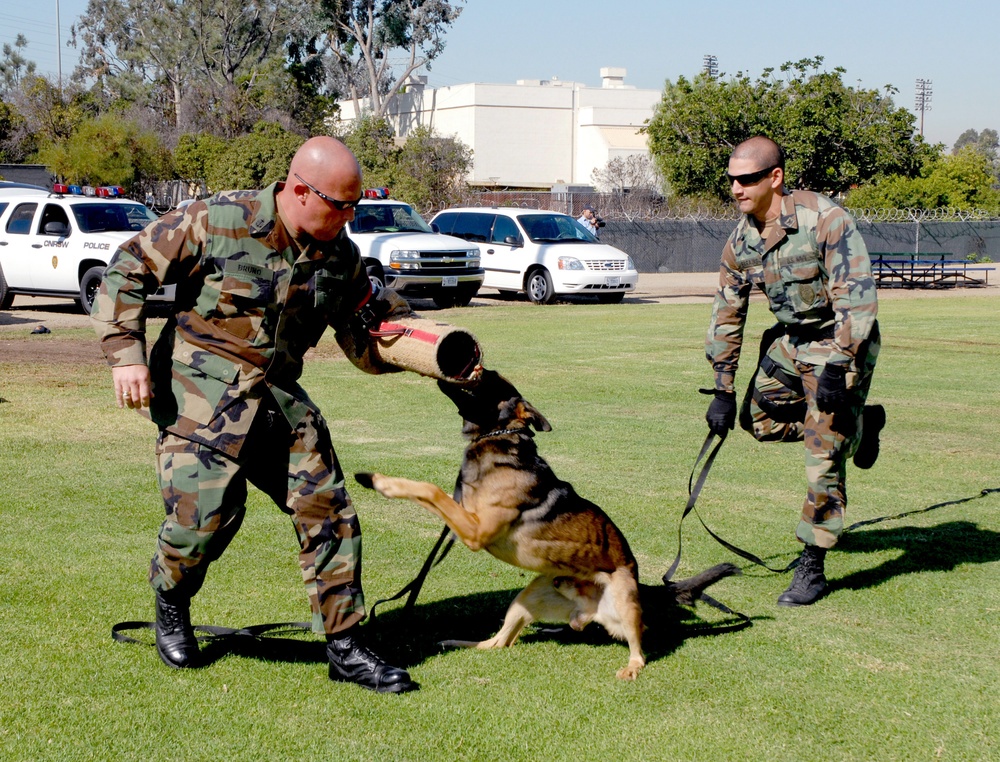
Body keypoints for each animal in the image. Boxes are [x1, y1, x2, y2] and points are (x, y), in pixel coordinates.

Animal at [356, 368, 740, 676]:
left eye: (488, 379)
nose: (459, 366)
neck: (497, 437)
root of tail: (587, 612)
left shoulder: (475, 530)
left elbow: (431, 490)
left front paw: (379, 482)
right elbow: (431, 492)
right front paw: (374, 478)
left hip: (625, 600)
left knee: (639, 647)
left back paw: (631, 668)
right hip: (525, 600)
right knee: (499, 643)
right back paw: (456, 642)